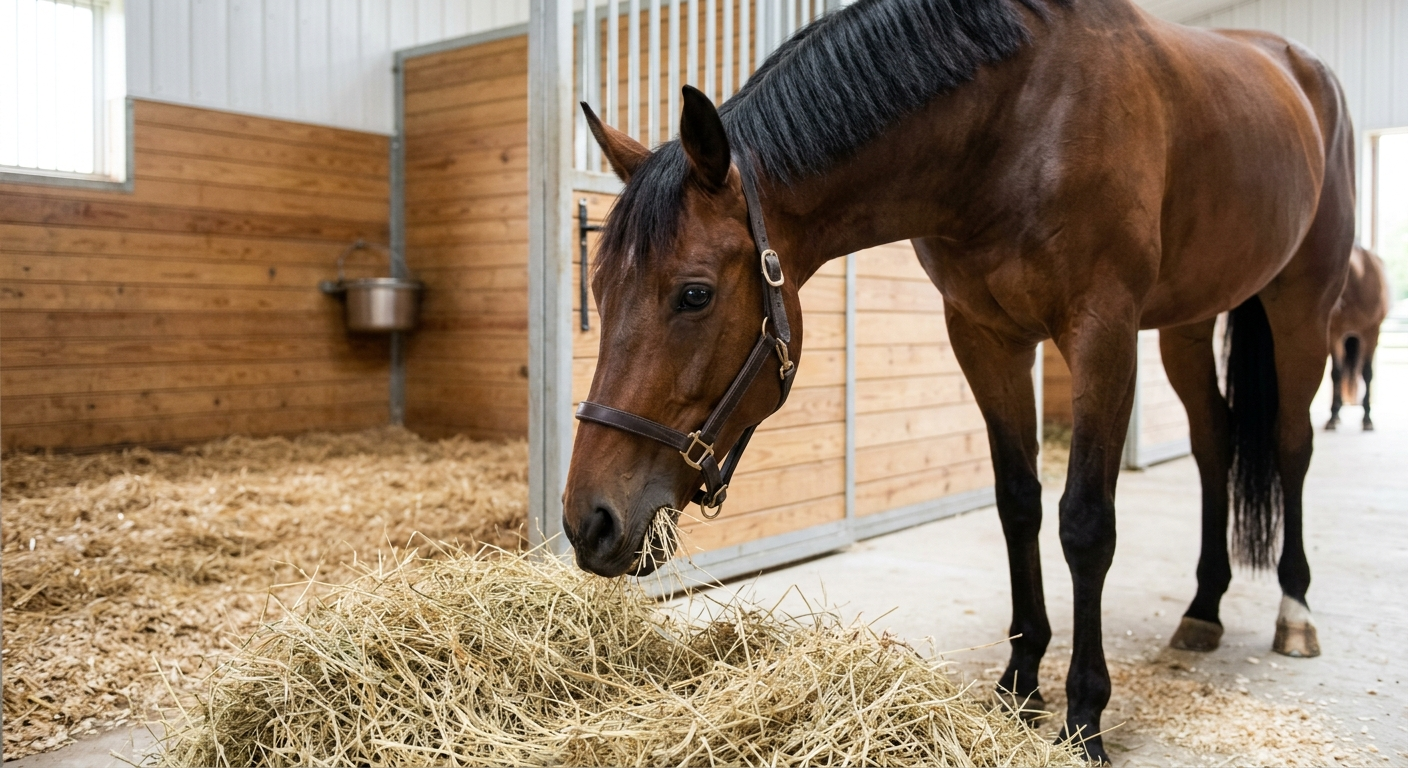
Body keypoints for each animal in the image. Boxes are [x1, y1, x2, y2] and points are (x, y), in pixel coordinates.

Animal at [561, 0, 1355, 760]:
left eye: (694, 295)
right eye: (596, 288)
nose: (588, 523)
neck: (1019, 121)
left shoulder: (1103, 332)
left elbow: (1086, 524)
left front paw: (1083, 717)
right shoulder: (983, 336)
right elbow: (1018, 504)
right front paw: (1019, 686)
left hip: (1302, 308)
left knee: (1293, 444)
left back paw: (1296, 612)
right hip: (1190, 324)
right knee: (1214, 442)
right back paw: (1203, 610)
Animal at [1325, 244, 1391, 431]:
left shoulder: (1371, 333)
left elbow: (1367, 373)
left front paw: (1367, 419)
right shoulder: (1335, 333)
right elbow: (1336, 373)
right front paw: (1332, 417)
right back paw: (1337, 415)